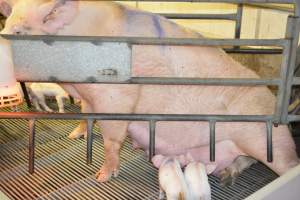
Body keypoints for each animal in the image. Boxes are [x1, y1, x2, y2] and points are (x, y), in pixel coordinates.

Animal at [0, 0, 298, 183]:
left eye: (18, 32)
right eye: (6, 26)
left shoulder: (115, 97)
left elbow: (111, 140)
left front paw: (102, 176)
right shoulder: (87, 95)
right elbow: (85, 114)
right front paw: (75, 135)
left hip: (268, 139)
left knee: (288, 163)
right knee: (245, 160)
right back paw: (226, 175)